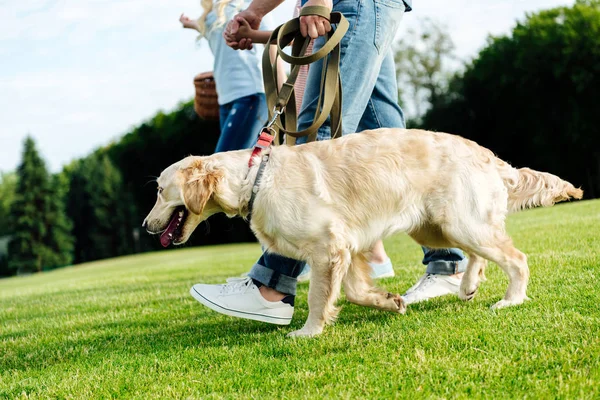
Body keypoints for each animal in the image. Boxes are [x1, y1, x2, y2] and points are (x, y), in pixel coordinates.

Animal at [143, 129, 584, 338]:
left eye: (161, 190)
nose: (146, 227)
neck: (255, 178)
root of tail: (490, 157)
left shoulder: (328, 247)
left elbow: (319, 297)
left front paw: (308, 332)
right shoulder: (348, 248)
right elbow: (355, 291)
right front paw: (389, 301)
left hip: (461, 222)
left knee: (516, 258)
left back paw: (511, 300)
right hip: (440, 226)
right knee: (477, 254)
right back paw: (469, 285)